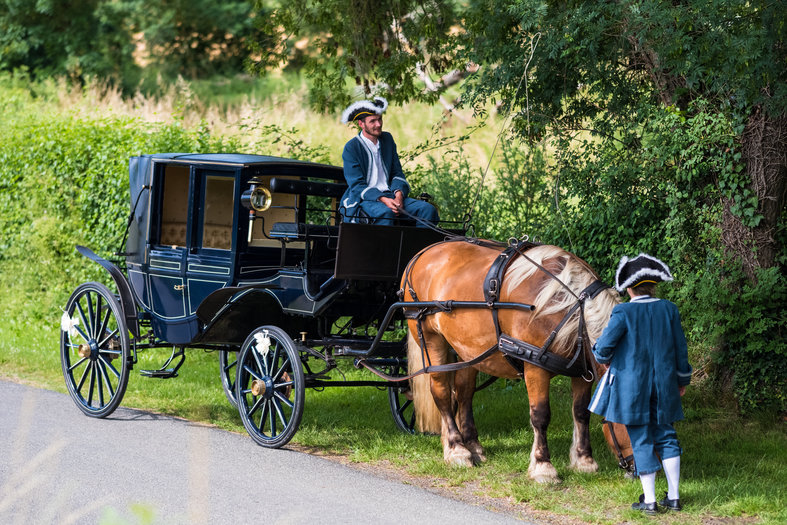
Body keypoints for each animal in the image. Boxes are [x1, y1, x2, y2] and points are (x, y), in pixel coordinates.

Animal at [406, 239, 636, 482]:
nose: (639, 471)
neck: (571, 309)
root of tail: (424, 252)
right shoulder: (535, 367)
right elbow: (540, 415)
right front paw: (543, 467)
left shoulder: (582, 370)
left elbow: (581, 412)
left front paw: (584, 461)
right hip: (430, 338)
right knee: (441, 391)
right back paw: (457, 449)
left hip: (467, 349)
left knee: (464, 392)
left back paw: (472, 445)